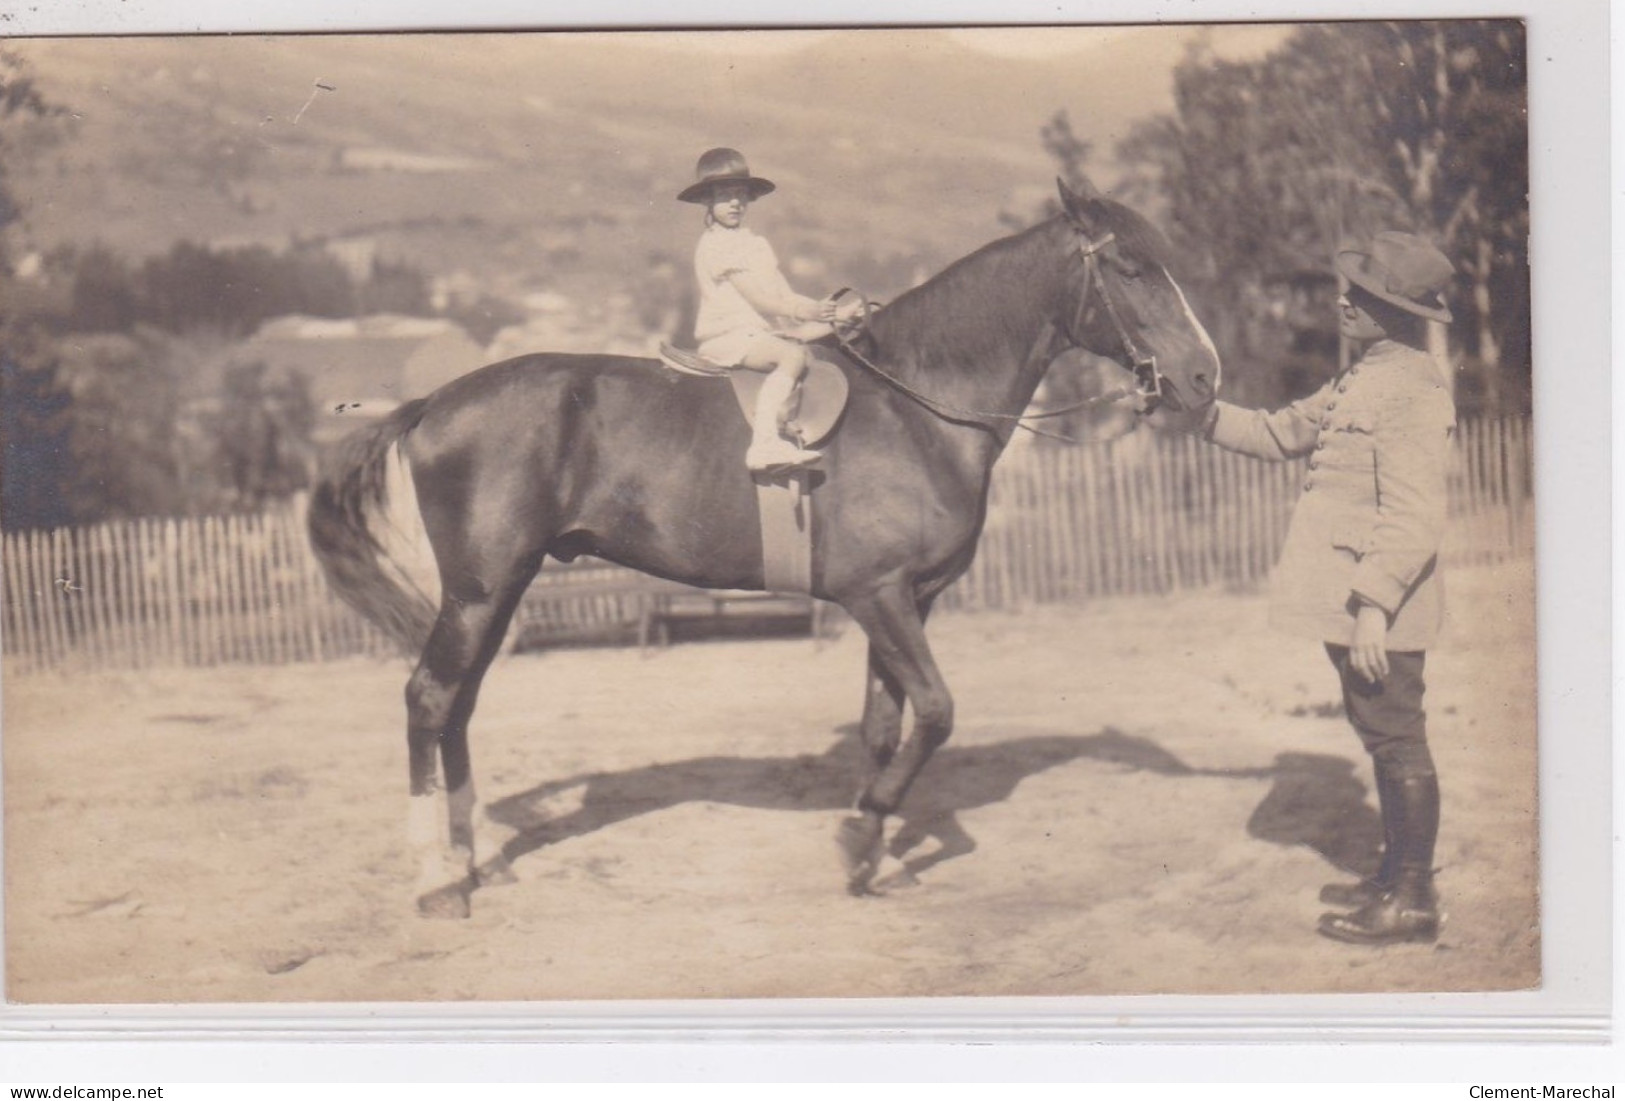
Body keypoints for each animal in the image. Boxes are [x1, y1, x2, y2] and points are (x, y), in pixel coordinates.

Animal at [307, 181, 1222, 915]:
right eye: (1130, 268)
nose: (1205, 377)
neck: (918, 407)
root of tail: (431, 402)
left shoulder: (908, 599)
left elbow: (884, 724)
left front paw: (872, 850)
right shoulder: (878, 595)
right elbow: (934, 712)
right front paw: (860, 837)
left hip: (498, 589)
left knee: (458, 703)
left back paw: (475, 860)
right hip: (479, 587)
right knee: (429, 698)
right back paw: (437, 878)